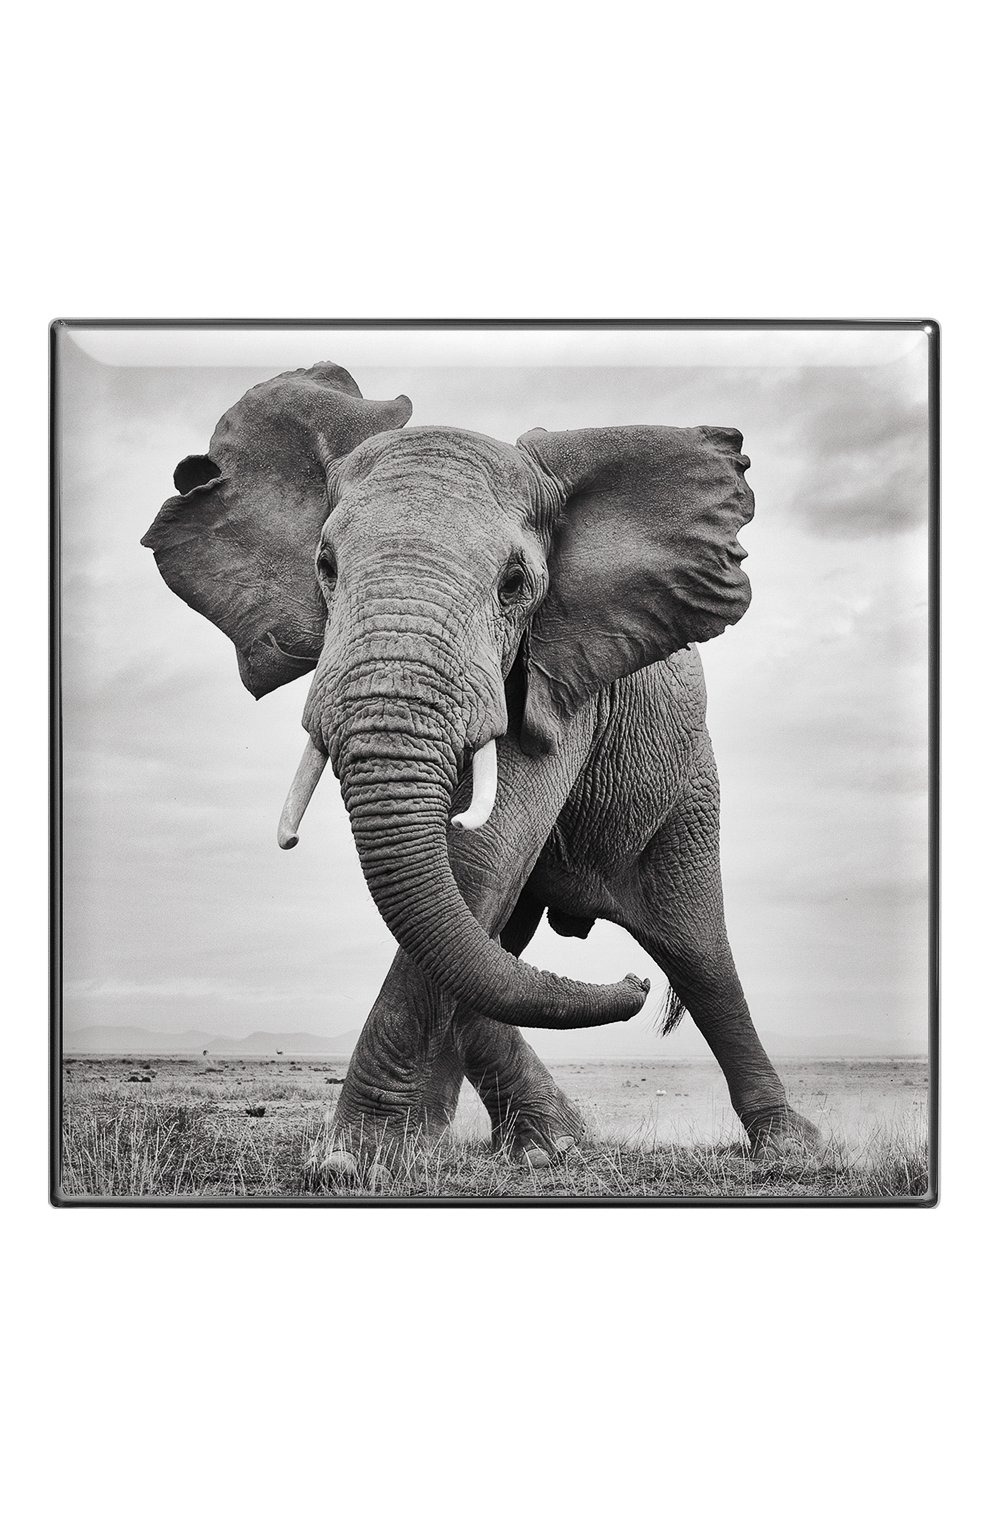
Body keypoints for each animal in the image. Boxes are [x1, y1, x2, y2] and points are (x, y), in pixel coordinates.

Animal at [141, 360, 819, 1178]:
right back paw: (531, 1143)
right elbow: (467, 908)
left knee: (696, 953)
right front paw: (412, 1152)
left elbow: (479, 860)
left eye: (515, 583)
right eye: (325, 568)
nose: (629, 986)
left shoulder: (558, 676)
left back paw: (792, 1150)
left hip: (686, 784)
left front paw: (357, 1161)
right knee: (503, 945)